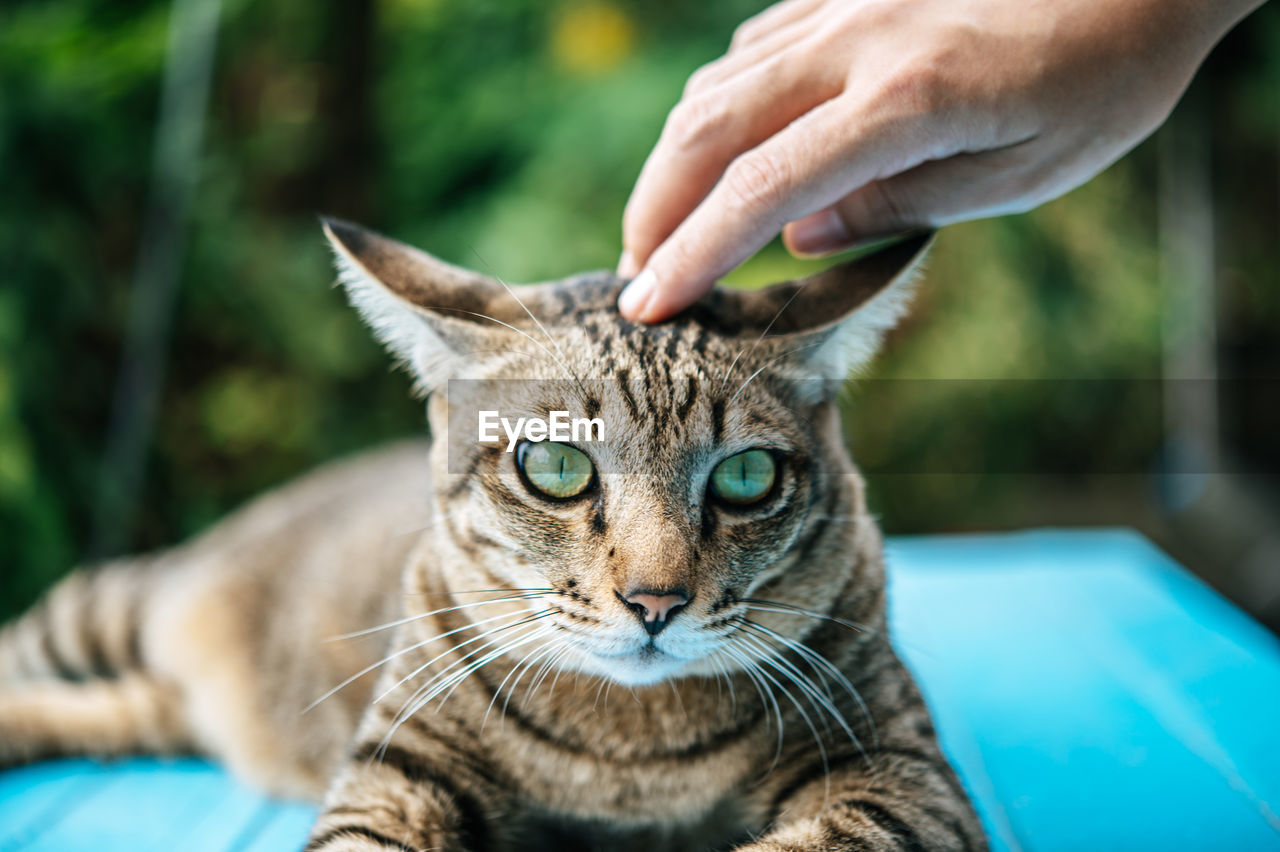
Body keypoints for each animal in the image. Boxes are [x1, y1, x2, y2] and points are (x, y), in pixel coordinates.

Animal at [0, 222, 983, 849]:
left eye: (746, 478)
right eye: (556, 465)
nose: (655, 602)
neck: (630, 751)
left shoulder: (898, 770)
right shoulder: (399, 768)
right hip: (117, 608)